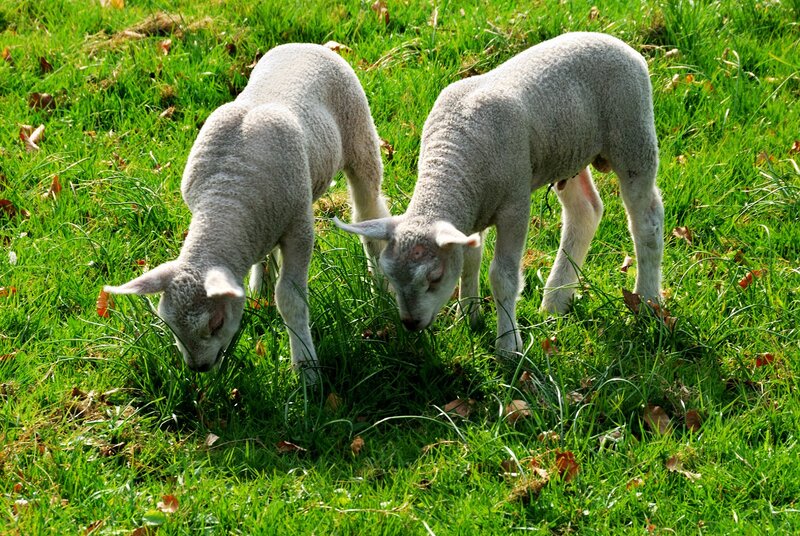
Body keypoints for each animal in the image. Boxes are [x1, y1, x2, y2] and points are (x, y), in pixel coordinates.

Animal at [104, 43, 390, 382]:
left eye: (215, 323)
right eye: (170, 325)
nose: (199, 368)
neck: (228, 194)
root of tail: (309, 45)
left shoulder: (299, 228)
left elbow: (290, 299)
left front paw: (306, 370)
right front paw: (259, 291)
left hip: (359, 134)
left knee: (368, 212)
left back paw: (381, 287)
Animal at [335, 32, 664, 357]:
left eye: (434, 277)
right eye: (389, 275)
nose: (411, 323)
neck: (452, 160)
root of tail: (618, 42)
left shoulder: (514, 204)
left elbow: (502, 277)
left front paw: (508, 345)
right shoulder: (471, 210)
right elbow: (470, 261)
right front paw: (468, 318)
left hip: (633, 136)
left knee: (647, 220)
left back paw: (647, 301)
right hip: (569, 154)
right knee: (585, 212)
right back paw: (555, 301)